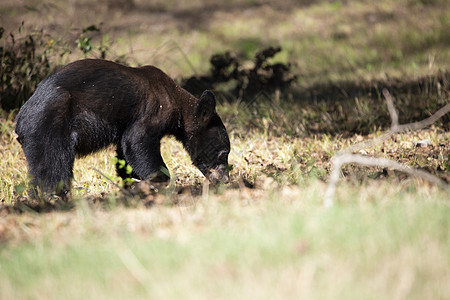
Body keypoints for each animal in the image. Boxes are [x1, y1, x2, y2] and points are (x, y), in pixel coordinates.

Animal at [15, 58, 230, 197]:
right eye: (223, 154)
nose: (225, 180)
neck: (177, 102)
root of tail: (20, 121)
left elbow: (126, 152)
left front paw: (134, 184)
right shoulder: (155, 110)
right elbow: (138, 140)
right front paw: (159, 180)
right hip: (50, 123)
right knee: (53, 165)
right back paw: (54, 197)